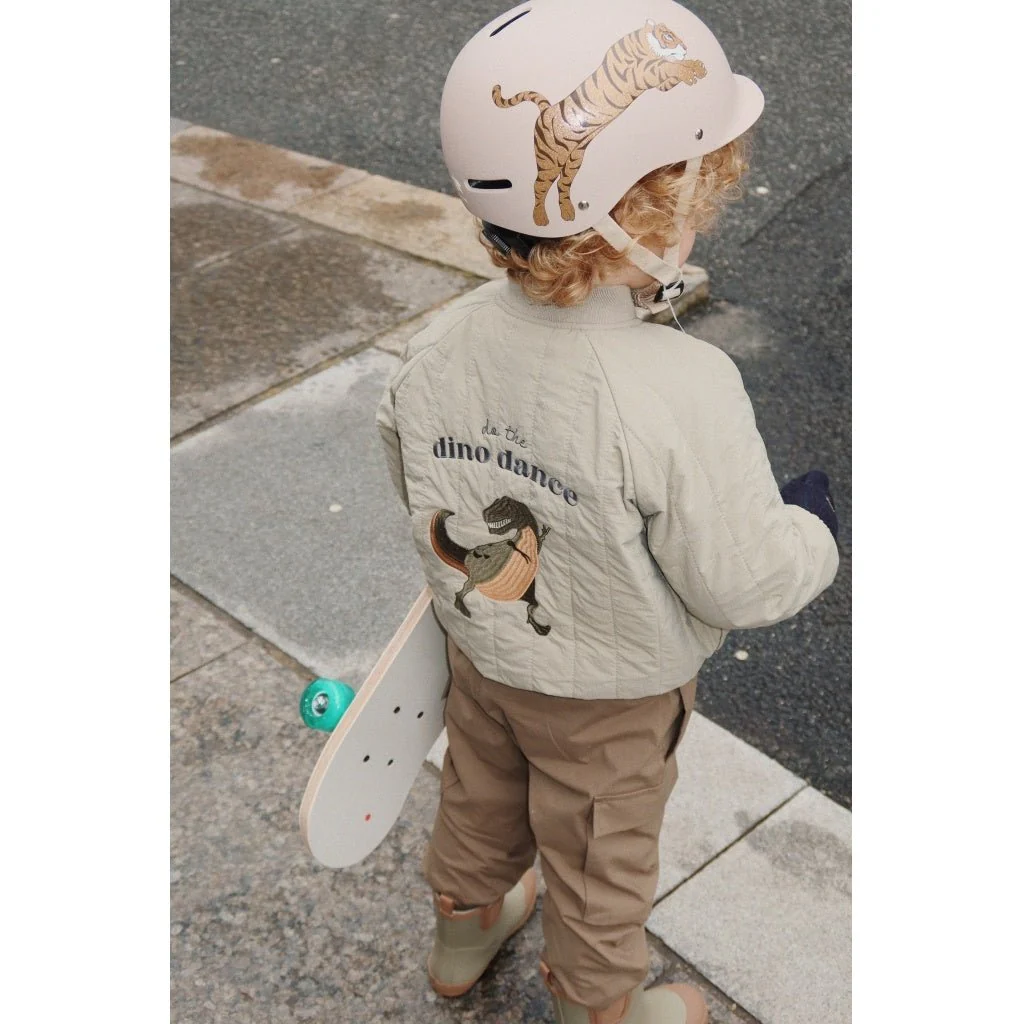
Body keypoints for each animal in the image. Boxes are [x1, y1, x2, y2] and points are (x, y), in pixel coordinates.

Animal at [492, 20, 708, 227]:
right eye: (668, 36)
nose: (686, 47)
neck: (642, 46)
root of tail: (545, 109)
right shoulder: (637, 73)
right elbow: (665, 66)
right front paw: (687, 70)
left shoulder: (656, 81)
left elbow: (669, 72)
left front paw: (696, 66)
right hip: (551, 159)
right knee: (539, 186)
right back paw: (540, 218)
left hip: (575, 159)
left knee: (563, 185)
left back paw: (568, 212)